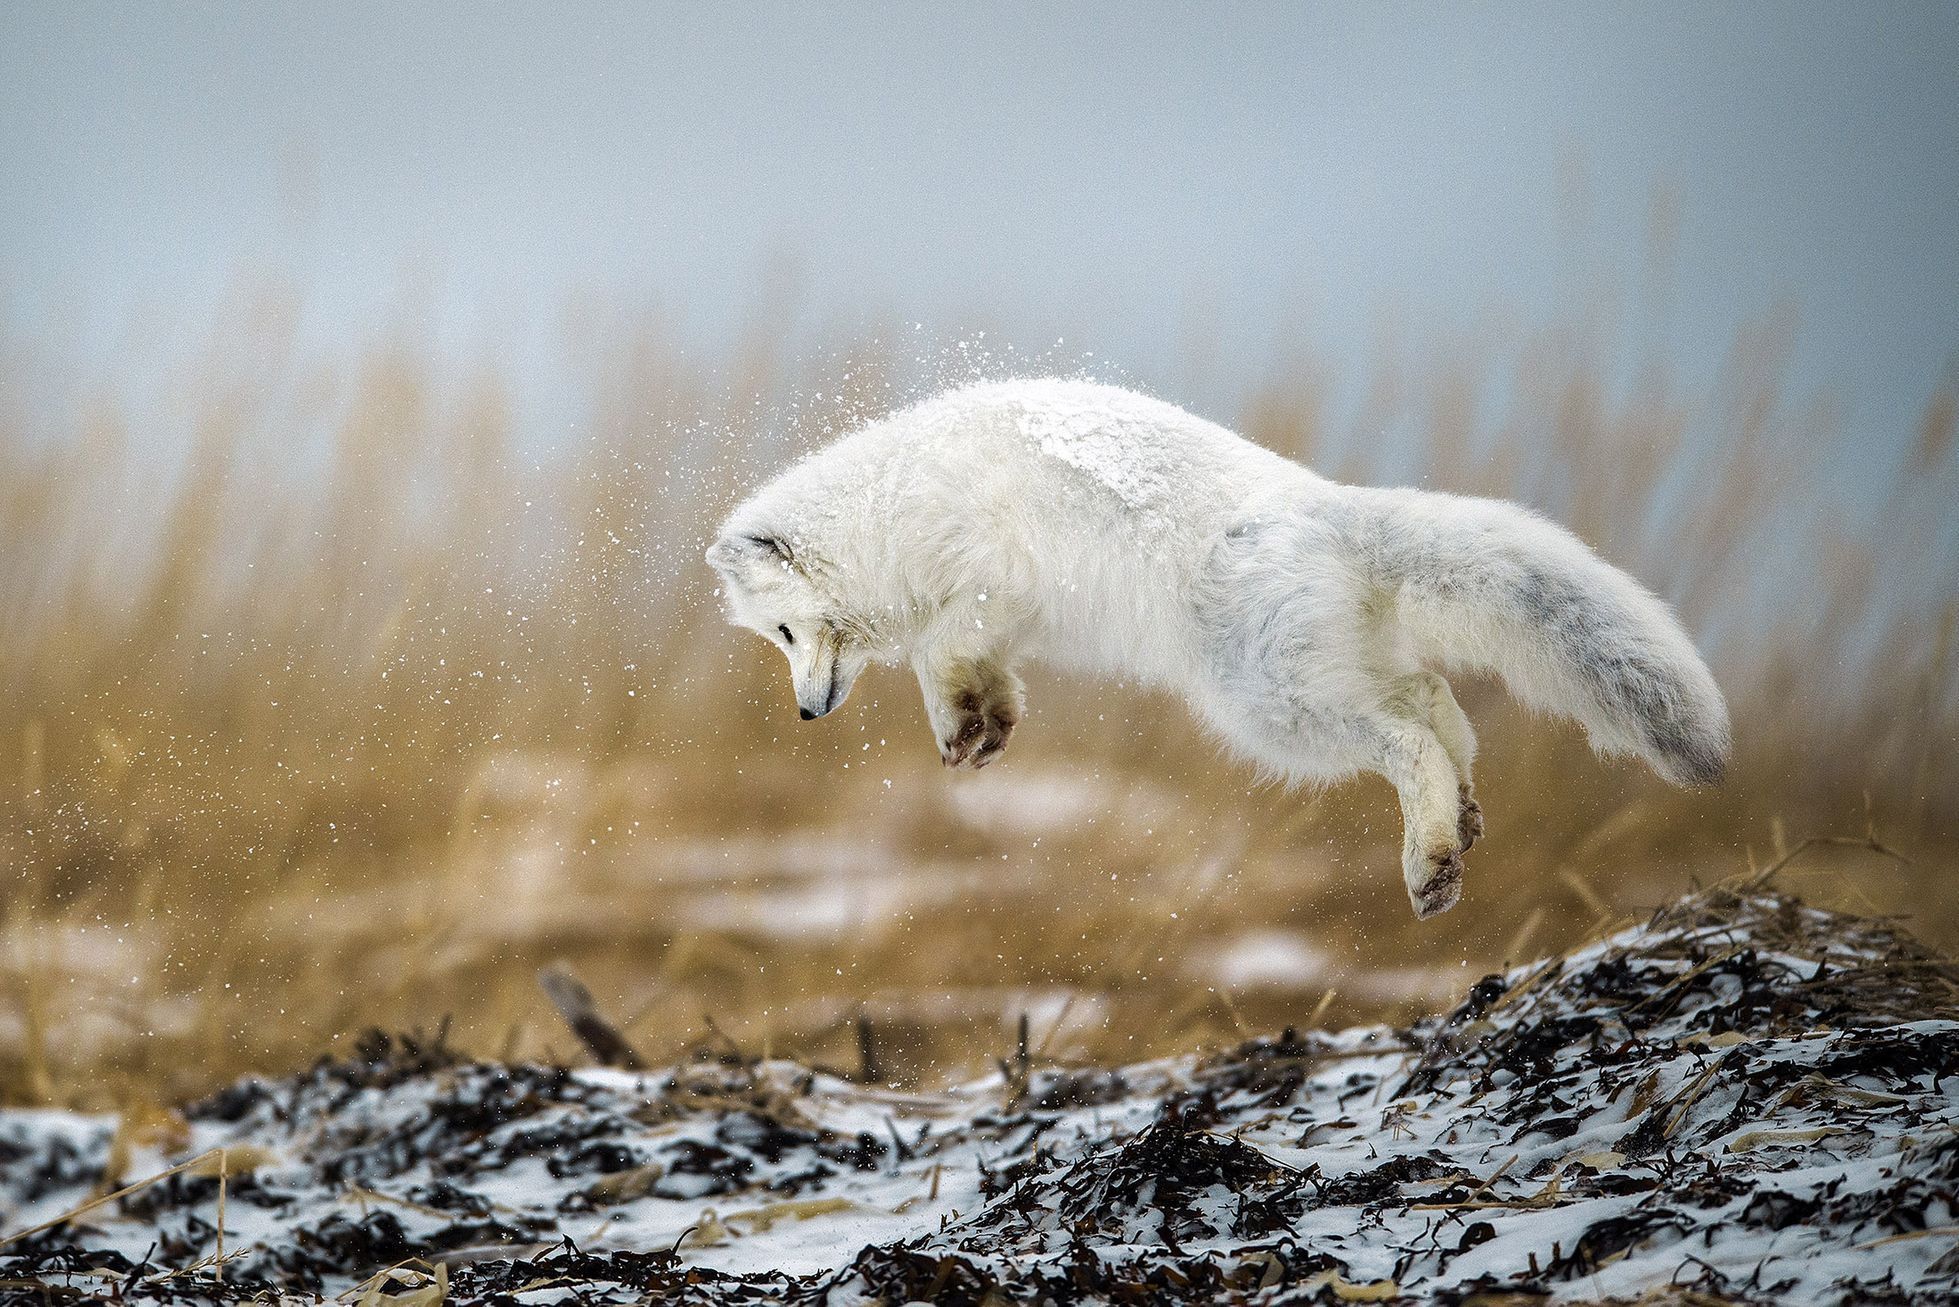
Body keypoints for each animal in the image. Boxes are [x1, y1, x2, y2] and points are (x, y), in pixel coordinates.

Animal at [709, 372, 1731, 917]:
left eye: (787, 630)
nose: (806, 712)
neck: (885, 511)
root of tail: (1328, 507)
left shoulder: (990, 572)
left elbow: (937, 646)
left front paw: (962, 720)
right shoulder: (1005, 617)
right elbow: (968, 668)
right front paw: (980, 726)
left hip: (1269, 706)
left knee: (1405, 739)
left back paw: (1430, 863)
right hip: (1321, 672)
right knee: (1435, 704)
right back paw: (1467, 819)